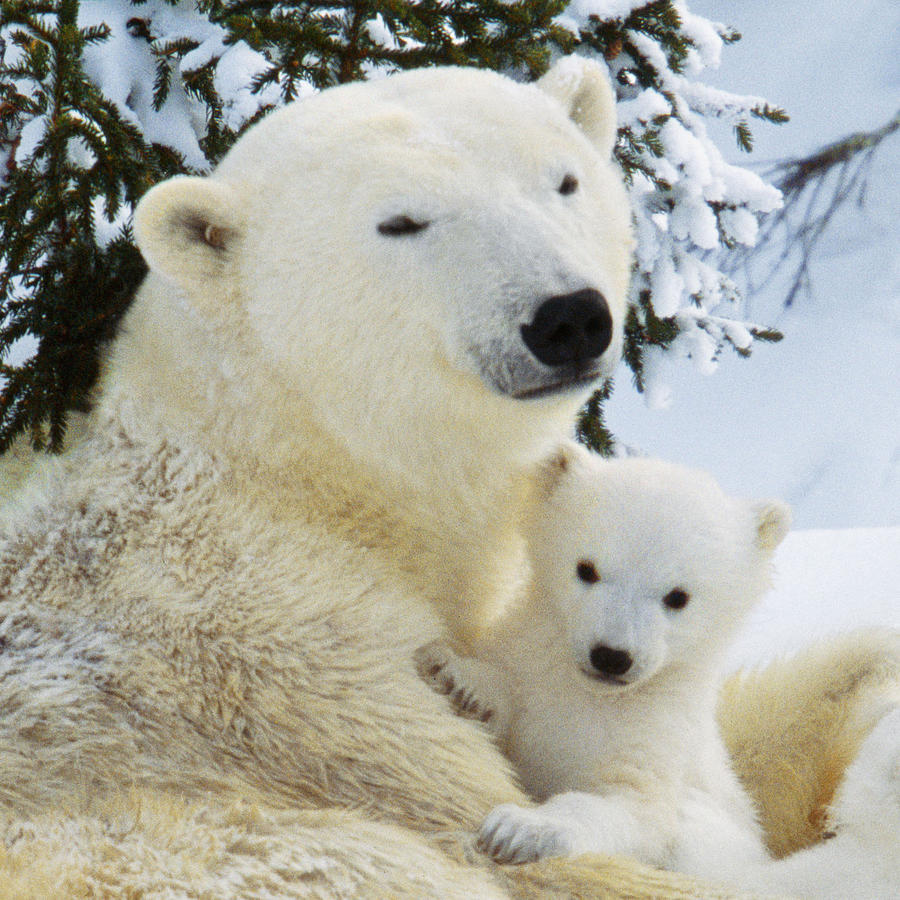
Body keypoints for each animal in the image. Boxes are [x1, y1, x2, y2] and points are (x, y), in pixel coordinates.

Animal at [416, 444, 900, 900]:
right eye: (586, 568)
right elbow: (508, 695)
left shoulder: (655, 735)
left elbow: (633, 809)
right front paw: (458, 678)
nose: (612, 655)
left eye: (677, 596)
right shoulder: (531, 664)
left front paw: (518, 829)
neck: (595, 697)